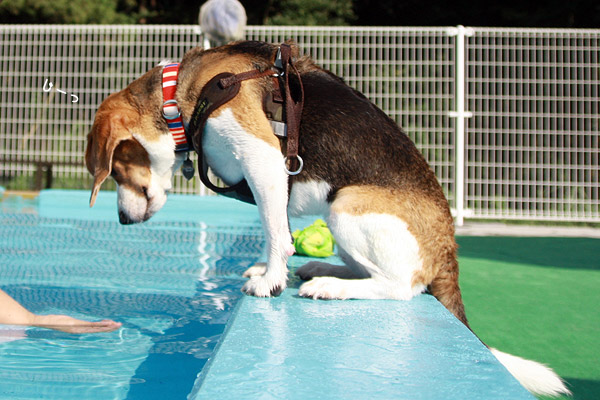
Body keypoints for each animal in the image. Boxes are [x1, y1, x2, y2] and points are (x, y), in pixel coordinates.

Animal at [84, 40, 568, 396]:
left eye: (116, 170)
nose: (123, 220)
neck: (178, 97)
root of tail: (447, 244)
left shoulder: (262, 159)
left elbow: (276, 232)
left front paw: (270, 281)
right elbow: (274, 227)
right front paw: (272, 269)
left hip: (345, 204)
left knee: (402, 287)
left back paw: (330, 287)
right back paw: (322, 269)